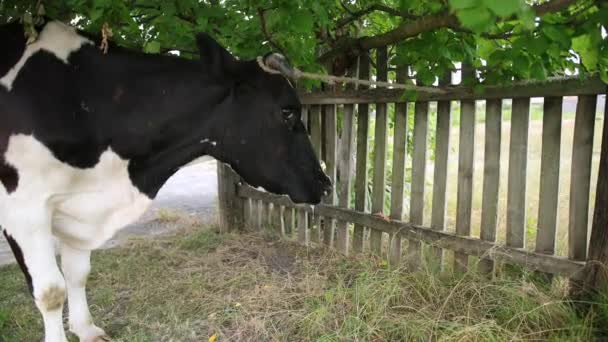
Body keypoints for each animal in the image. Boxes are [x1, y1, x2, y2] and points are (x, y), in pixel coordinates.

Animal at [0, 19, 332, 342]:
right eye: (287, 111)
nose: (325, 183)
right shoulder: (24, 209)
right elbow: (51, 292)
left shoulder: (79, 207)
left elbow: (77, 272)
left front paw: (87, 330)